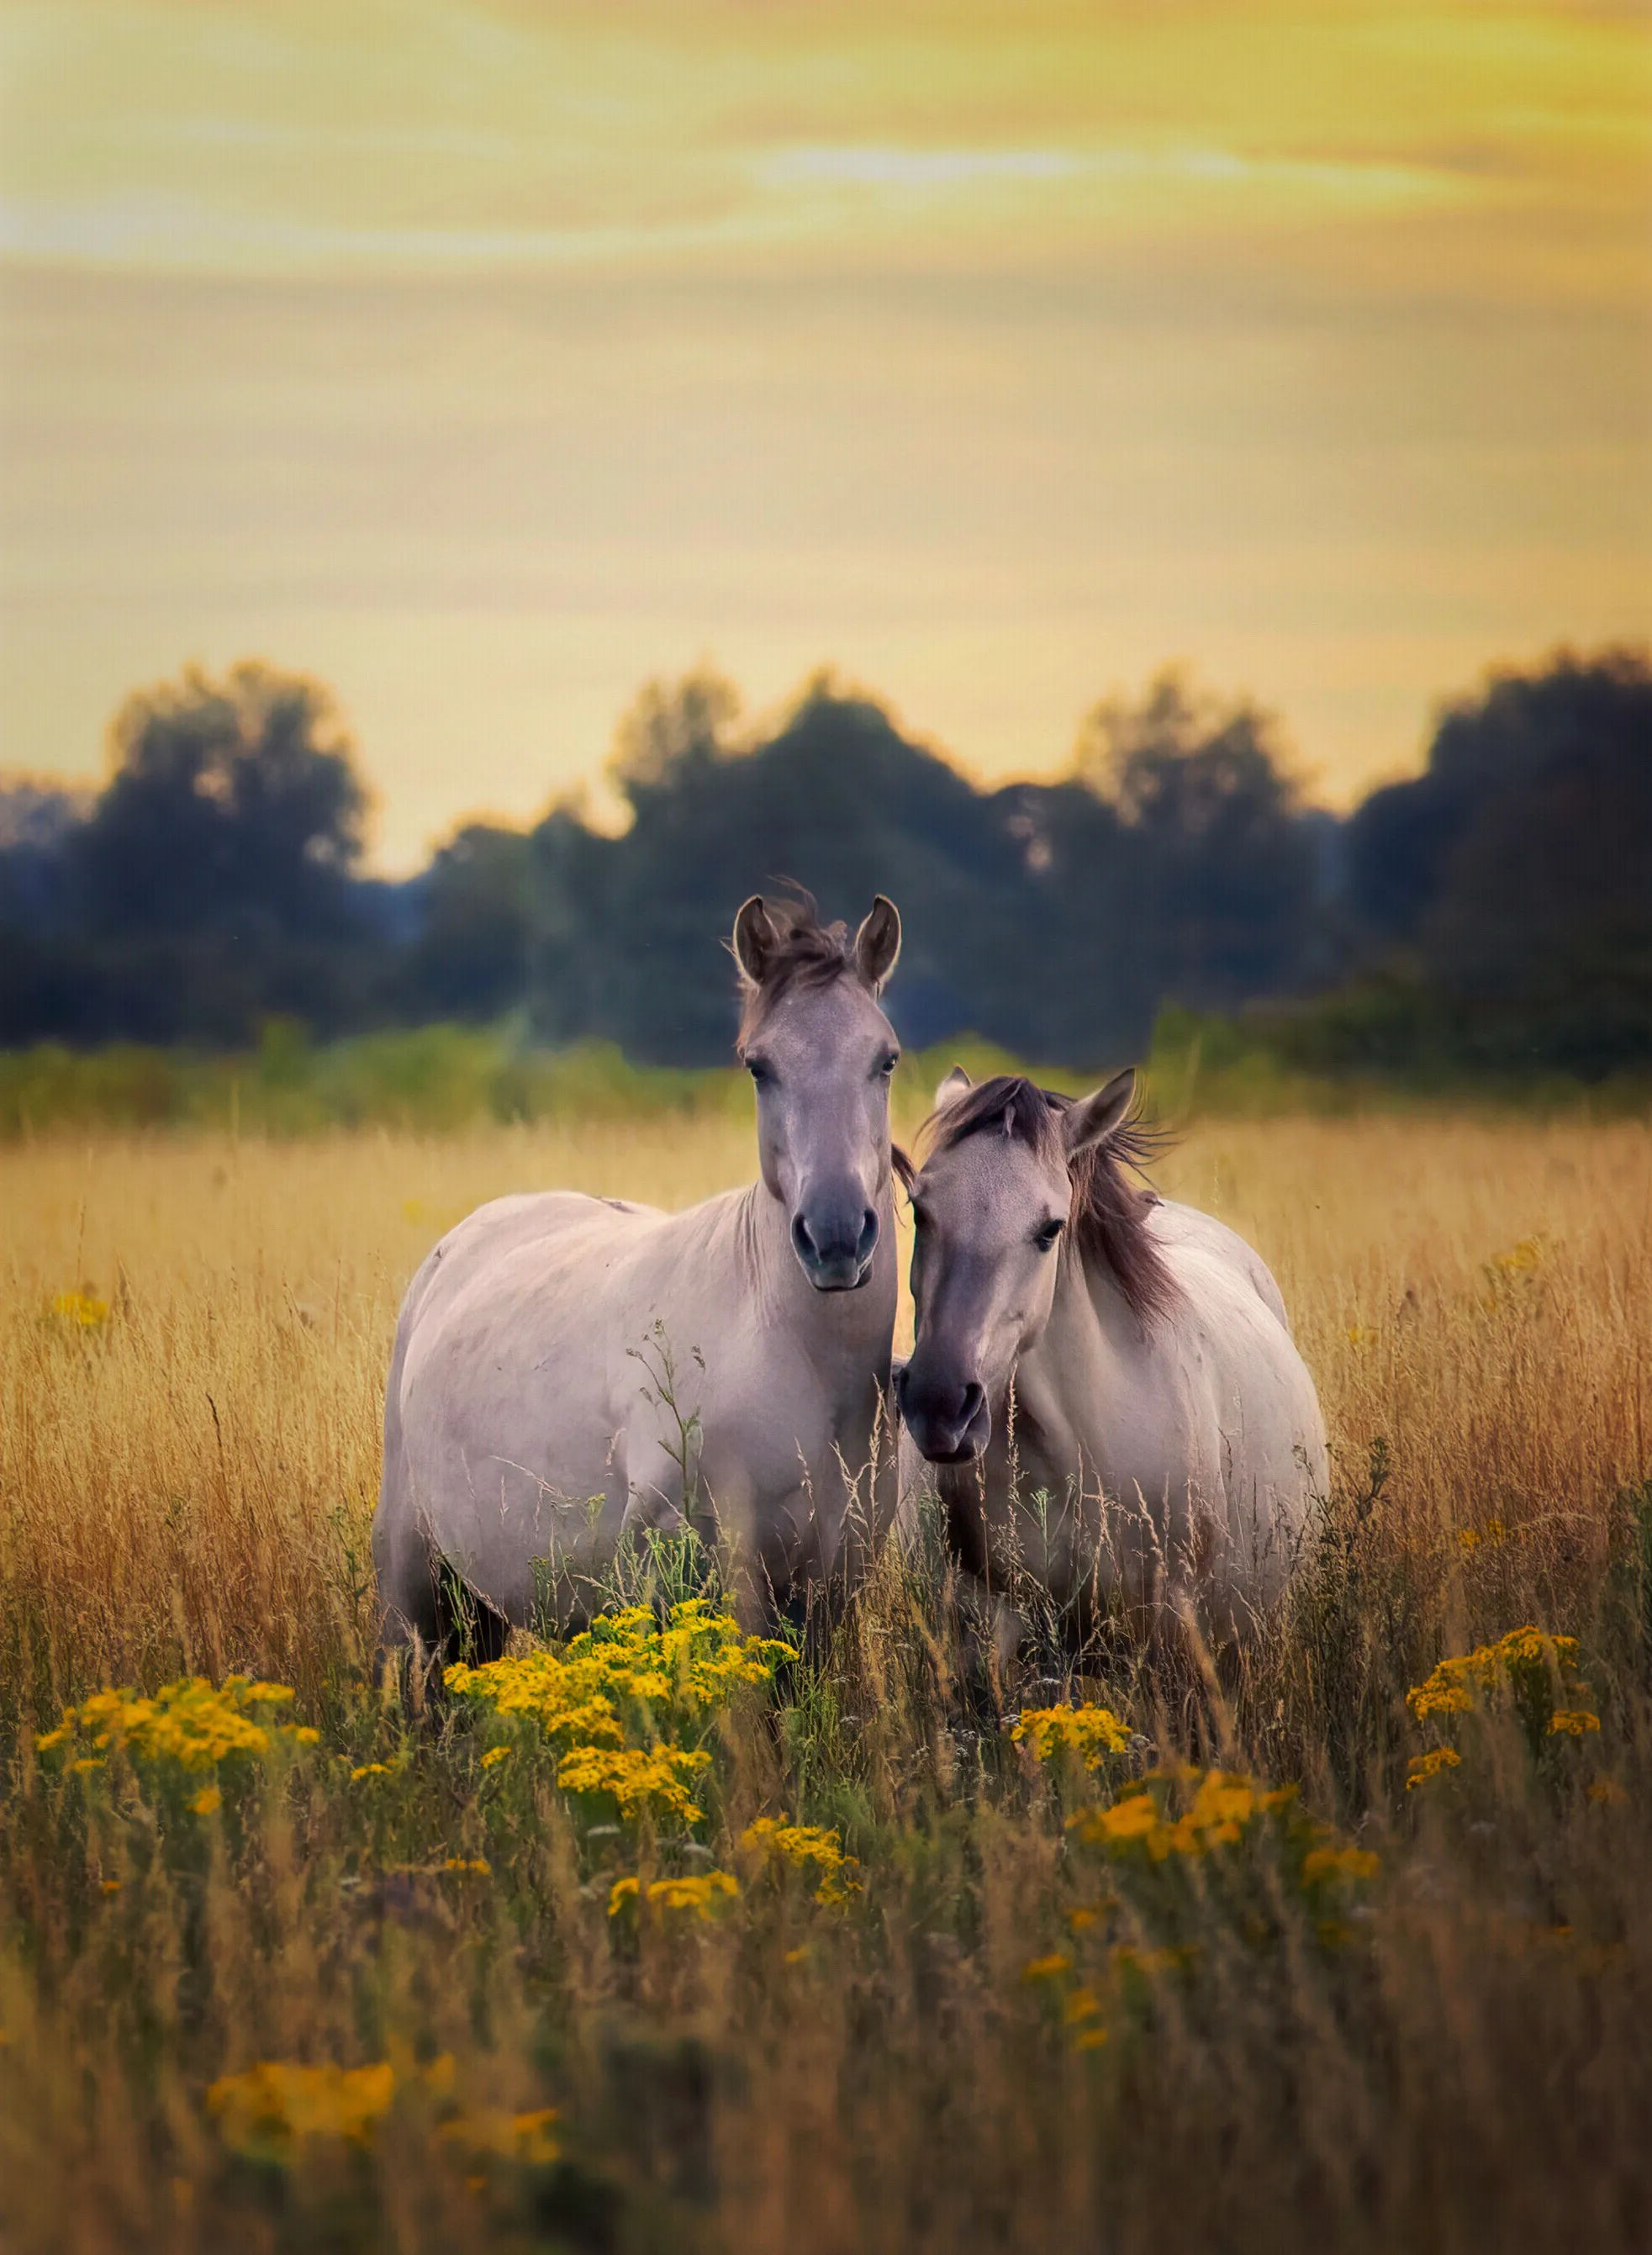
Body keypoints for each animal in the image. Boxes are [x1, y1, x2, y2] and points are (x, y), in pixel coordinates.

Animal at [373, 893, 904, 1663]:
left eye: (885, 1059)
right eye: (758, 1066)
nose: (834, 1236)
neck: (794, 1360)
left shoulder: (828, 1595)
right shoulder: (694, 1583)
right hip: (417, 1593)